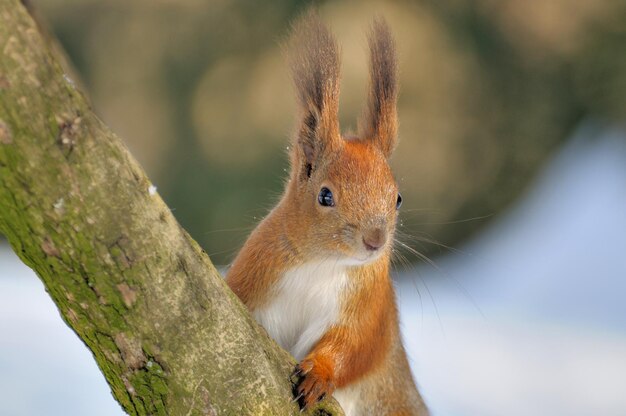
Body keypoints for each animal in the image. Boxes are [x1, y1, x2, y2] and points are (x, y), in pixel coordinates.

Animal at [225, 13, 428, 416]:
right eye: (325, 195)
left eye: (397, 198)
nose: (375, 241)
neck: (323, 263)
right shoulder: (255, 275)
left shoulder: (369, 309)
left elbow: (351, 348)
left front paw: (318, 374)